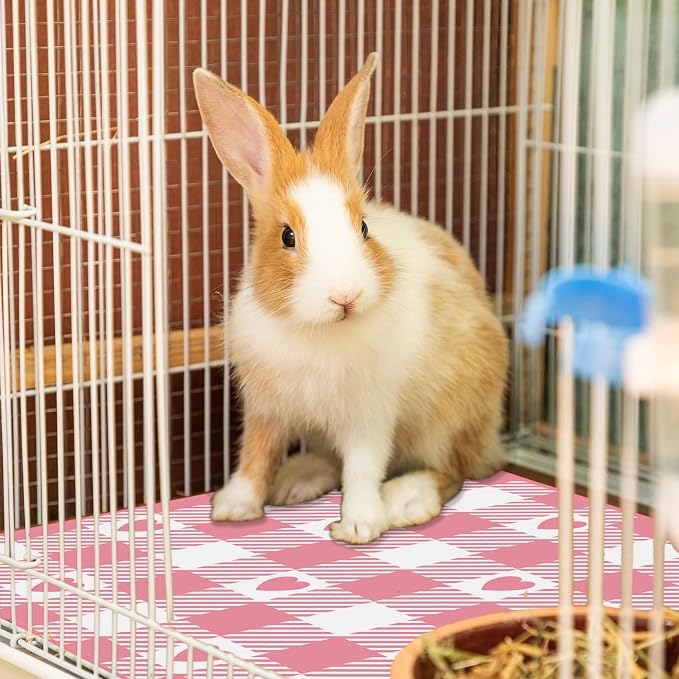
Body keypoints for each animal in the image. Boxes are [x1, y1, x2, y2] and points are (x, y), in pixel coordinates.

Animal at [192, 52, 509, 544]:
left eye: (363, 227)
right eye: (286, 236)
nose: (345, 295)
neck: (317, 330)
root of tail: (491, 438)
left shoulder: (368, 415)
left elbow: (362, 469)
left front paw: (360, 525)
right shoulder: (267, 409)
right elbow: (255, 455)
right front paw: (233, 508)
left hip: (449, 420)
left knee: (451, 471)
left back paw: (405, 500)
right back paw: (296, 481)